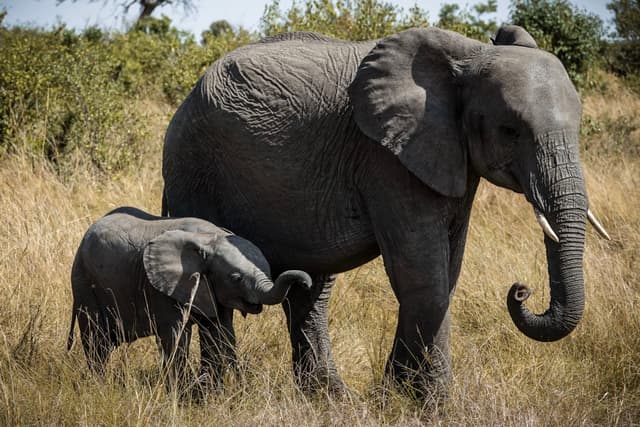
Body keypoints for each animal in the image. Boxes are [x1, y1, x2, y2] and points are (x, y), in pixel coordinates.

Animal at [67, 207, 312, 392]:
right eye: (236, 278)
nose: (306, 283)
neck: (209, 240)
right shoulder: (162, 288)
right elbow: (177, 336)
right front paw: (181, 395)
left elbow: (222, 333)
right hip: (84, 283)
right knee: (96, 342)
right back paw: (100, 386)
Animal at [161, 27, 608, 398]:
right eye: (511, 131)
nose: (520, 290)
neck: (470, 56)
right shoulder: (388, 160)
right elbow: (423, 277)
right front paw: (434, 406)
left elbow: (445, 275)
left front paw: (393, 397)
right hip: (192, 169)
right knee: (213, 291)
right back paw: (217, 396)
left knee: (309, 293)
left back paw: (329, 398)